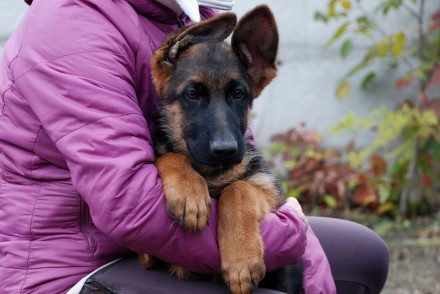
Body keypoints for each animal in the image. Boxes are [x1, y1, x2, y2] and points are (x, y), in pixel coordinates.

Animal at [140, 5, 302, 294]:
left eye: (238, 94)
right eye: (192, 94)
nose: (226, 150)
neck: (209, 173)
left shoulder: (270, 191)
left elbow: (238, 189)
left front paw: (242, 259)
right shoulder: (146, 256)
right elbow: (170, 155)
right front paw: (189, 194)